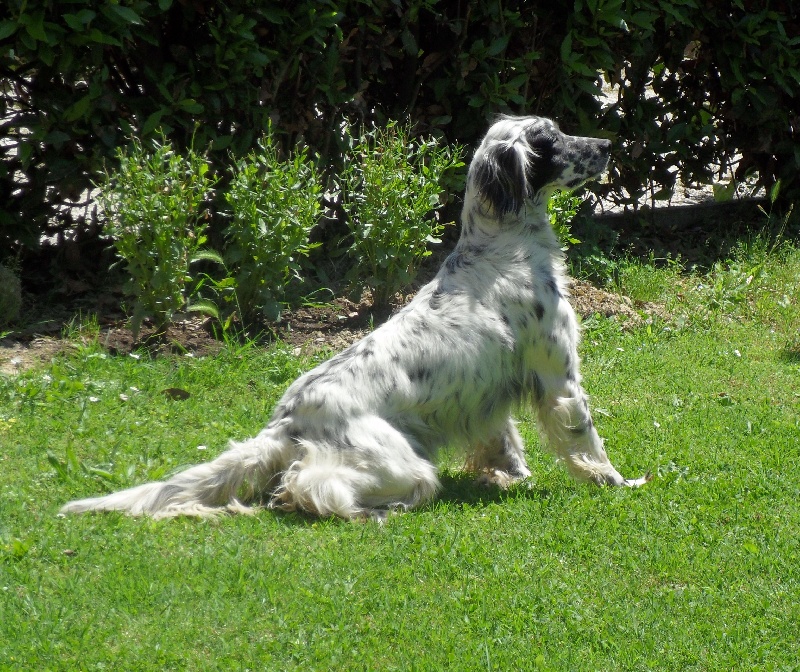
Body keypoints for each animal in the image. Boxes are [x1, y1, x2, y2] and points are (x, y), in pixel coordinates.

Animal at [61, 115, 649, 521]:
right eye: (552, 138)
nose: (607, 146)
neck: (501, 247)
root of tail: (288, 422)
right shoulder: (559, 377)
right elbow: (587, 441)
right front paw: (620, 483)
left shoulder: (491, 394)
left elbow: (501, 443)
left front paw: (509, 478)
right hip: (402, 464)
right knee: (310, 486)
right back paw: (371, 512)